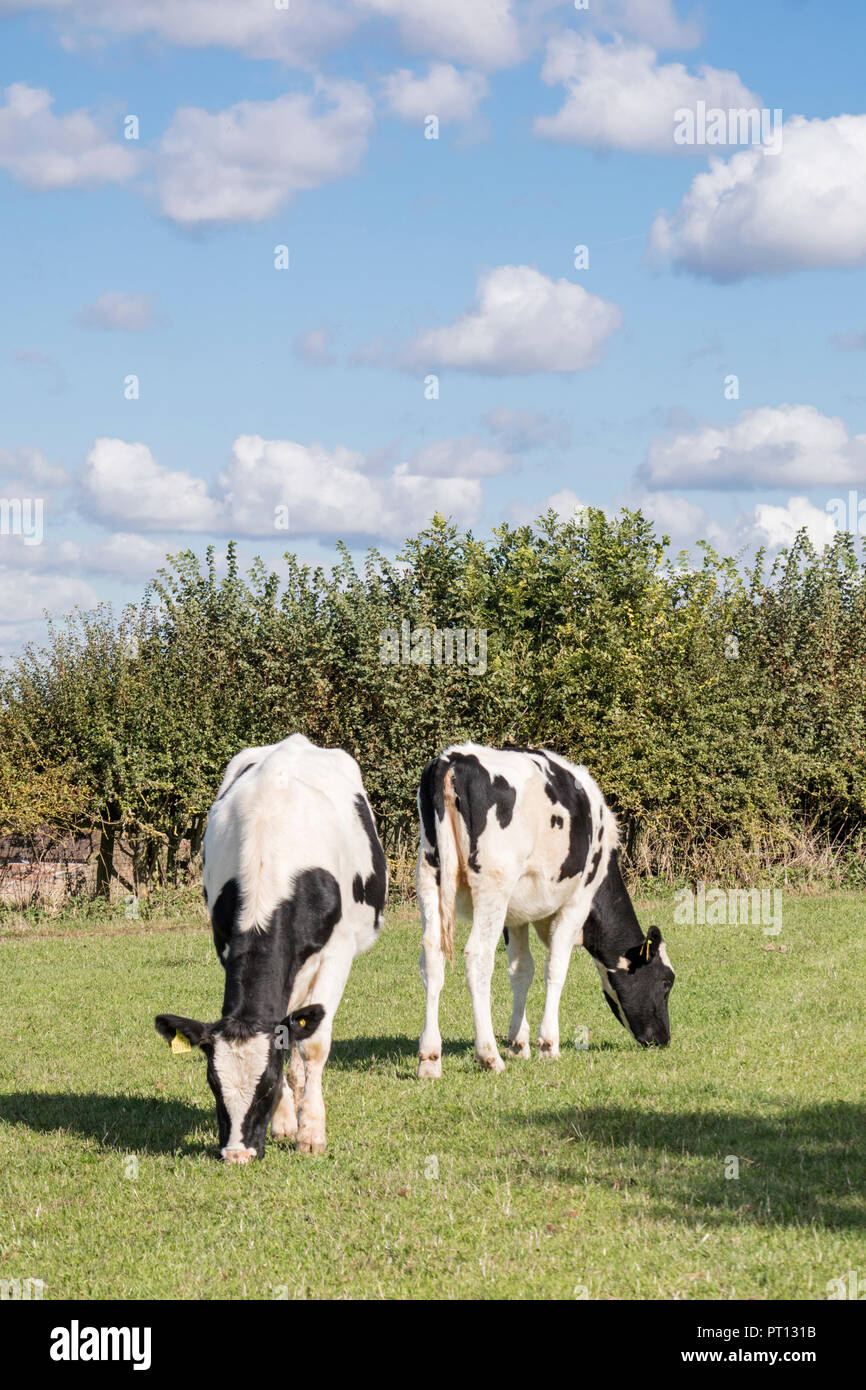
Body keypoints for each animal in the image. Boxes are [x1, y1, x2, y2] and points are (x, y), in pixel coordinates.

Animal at [154, 739, 389, 1162]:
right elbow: (284, 1031)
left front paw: (311, 1133)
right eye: (213, 1083)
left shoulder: (337, 952)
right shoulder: (226, 942)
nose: (237, 1154)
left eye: (266, 1084)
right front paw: (284, 1123)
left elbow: (312, 1044)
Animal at [417, 745, 675, 1078]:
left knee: (431, 958)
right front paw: (548, 1045)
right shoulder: (576, 903)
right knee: (478, 957)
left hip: (429, 877)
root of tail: (453, 759)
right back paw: (488, 1056)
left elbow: (521, 970)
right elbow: (556, 968)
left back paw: (429, 1058)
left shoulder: (516, 914)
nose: (663, 1038)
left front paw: (518, 1043)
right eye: (666, 982)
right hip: (493, 884)